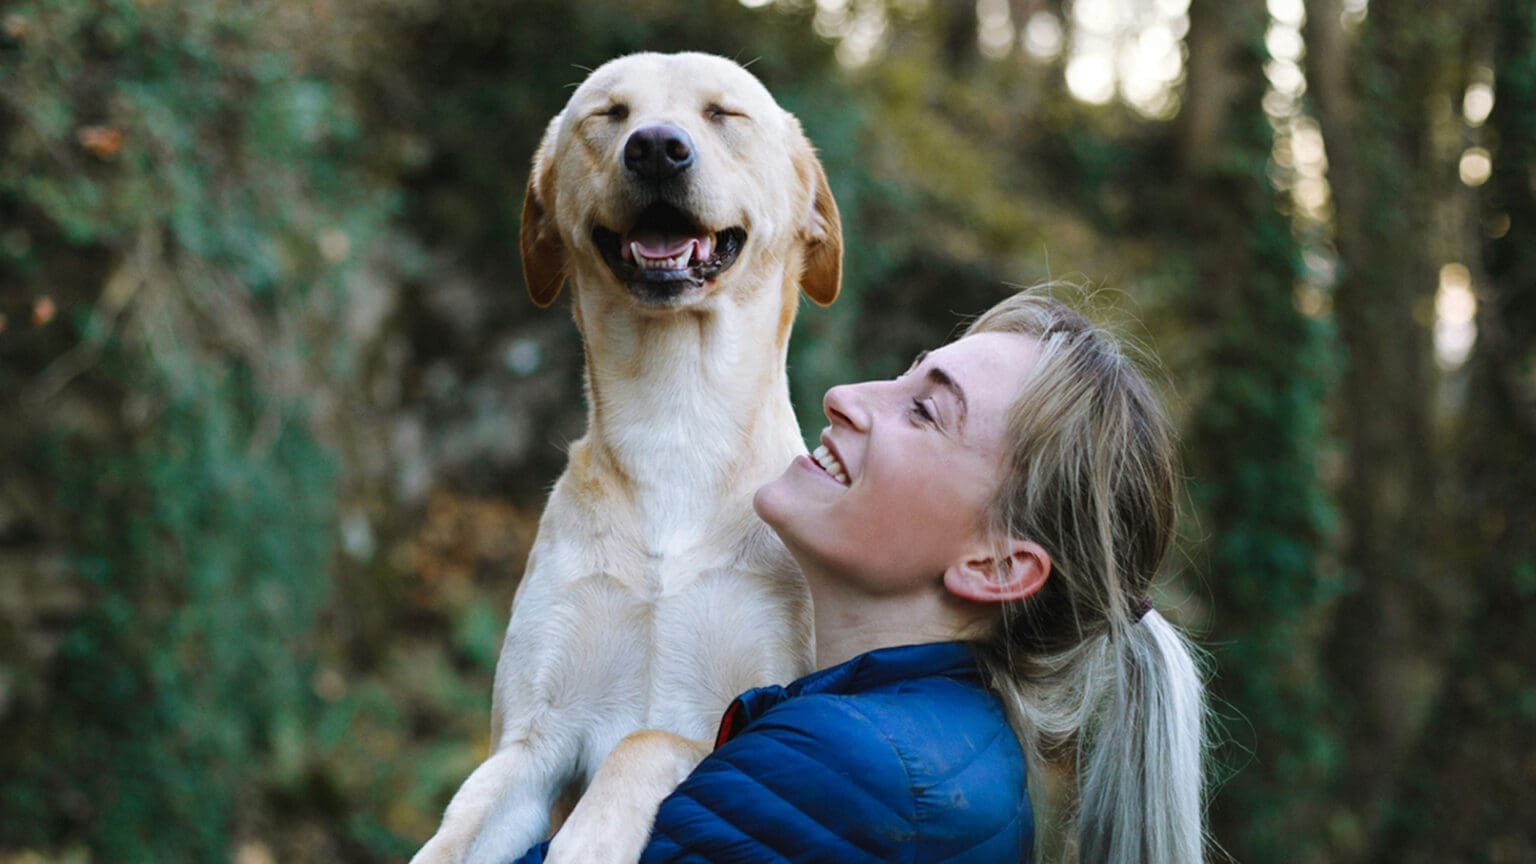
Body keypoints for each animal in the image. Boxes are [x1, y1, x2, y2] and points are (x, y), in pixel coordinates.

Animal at [411, 53, 841, 860]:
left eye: (724, 113)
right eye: (608, 115)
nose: (656, 149)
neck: (675, 424)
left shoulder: (749, 717)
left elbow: (644, 742)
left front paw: (589, 840)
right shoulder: (529, 745)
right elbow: (453, 836)